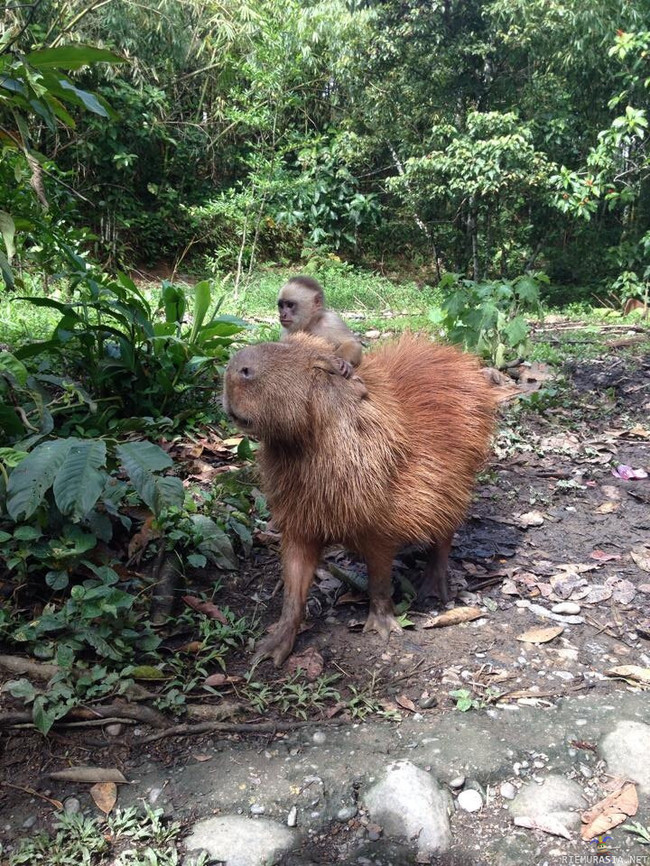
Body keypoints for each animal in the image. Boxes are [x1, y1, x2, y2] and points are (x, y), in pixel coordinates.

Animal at [221, 334, 492, 664]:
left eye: (321, 366)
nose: (237, 368)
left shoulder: (382, 527)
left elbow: (380, 577)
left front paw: (383, 627)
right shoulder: (298, 522)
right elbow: (294, 584)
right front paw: (271, 648)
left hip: (457, 488)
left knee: (444, 537)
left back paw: (433, 588)